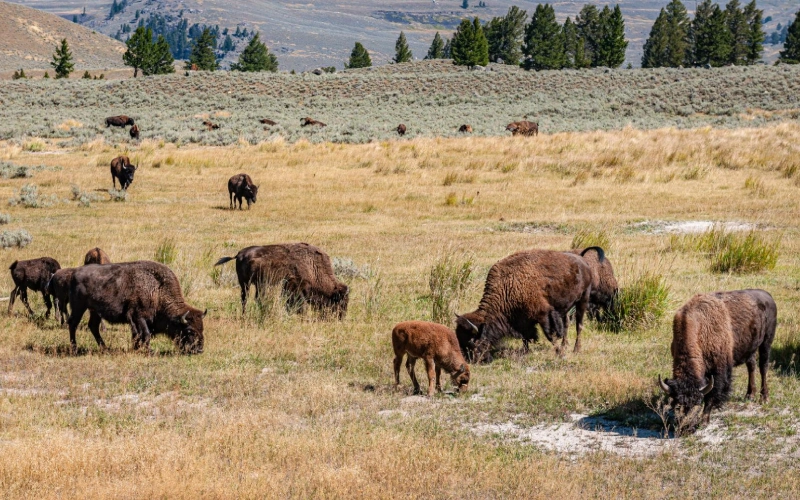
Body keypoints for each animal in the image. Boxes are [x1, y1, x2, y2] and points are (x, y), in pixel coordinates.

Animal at [68, 261, 206, 354]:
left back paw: (105, 348)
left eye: (202, 328)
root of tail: (75, 273)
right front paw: (149, 351)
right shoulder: (139, 317)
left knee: (93, 326)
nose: (199, 350)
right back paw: (74, 349)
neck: (157, 289)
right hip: (79, 307)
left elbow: (138, 335)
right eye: (189, 330)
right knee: (73, 323)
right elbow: (146, 334)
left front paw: (136, 348)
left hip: (95, 311)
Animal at [214, 243, 349, 319]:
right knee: (248, 299)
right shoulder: (295, 287)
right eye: (340, 301)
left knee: (249, 299)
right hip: (250, 284)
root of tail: (239, 254)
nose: (341, 317)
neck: (312, 266)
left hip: (252, 284)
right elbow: (296, 303)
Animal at [456, 249, 592, 361]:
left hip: (583, 299)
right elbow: (525, 337)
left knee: (579, 325)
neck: (507, 286)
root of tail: (583, 261)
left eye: (472, 342)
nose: (471, 360)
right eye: (459, 339)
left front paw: (560, 354)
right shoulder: (522, 320)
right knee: (566, 324)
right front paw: (525, 352)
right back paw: (565, 346)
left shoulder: (543, 314)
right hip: (566, 306)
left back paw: (576, 349)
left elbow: (550, 335)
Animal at [658, 290, 777, 425]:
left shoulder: (719, 369)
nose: (685, 423)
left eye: (697, 402)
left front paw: (705, 419)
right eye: (677, 404)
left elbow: (712, 393)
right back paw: (749, 395)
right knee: (751, 366)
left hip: (766, 342)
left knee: (763, 367)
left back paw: (764, 398)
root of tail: (768, 296)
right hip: (750, 348)